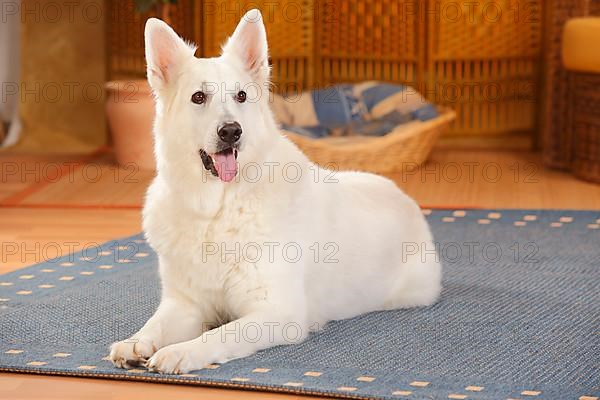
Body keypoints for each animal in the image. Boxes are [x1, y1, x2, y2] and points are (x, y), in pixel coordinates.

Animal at [109, 9, 440, 374]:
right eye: (199, 97)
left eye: (241, 96)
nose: (231, 131)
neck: (217, 210)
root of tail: (405, 198)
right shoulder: (186, 304)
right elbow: (154, 324)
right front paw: (135, 342)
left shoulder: (278, 314)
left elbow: (218, 334)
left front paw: (180, 352)